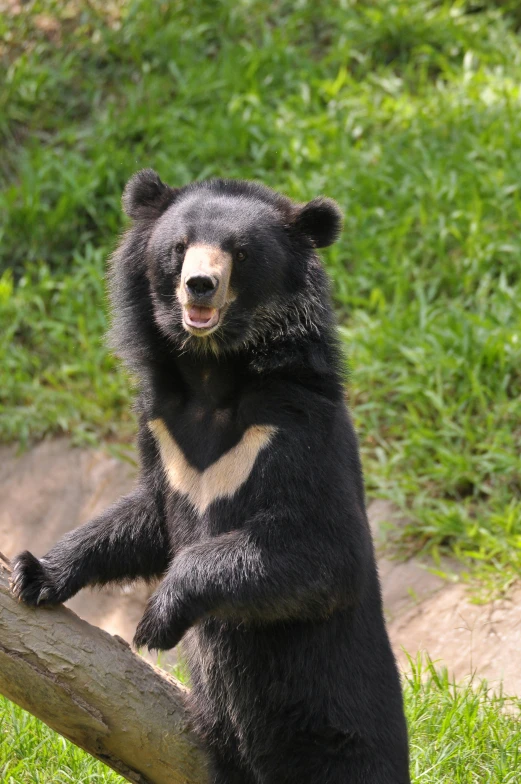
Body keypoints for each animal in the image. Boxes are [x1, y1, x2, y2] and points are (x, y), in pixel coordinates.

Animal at [11, 172, 410, 784]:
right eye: (179, 248)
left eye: (239, 253)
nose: (199, 286)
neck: (209, 372)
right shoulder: (159, 428)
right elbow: (146, 518)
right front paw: (34, 573)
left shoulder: (294, 428)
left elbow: (323, 550)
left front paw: (154, 622)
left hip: (342, 732)